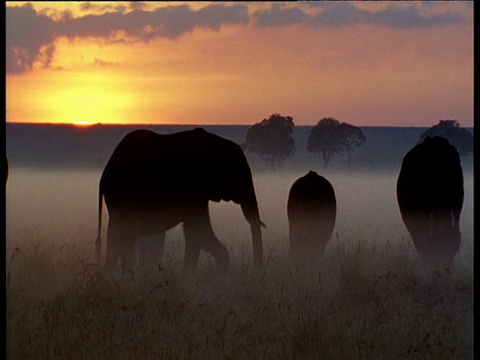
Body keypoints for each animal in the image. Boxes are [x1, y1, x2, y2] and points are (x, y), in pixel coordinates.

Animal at [95, 128, 264, 274]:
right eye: (238, 175)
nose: (256, 271)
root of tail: (103, 177)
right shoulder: (193, 187)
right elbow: (198, 231)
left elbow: (195, 233)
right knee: (120, 235)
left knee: (123, 237)